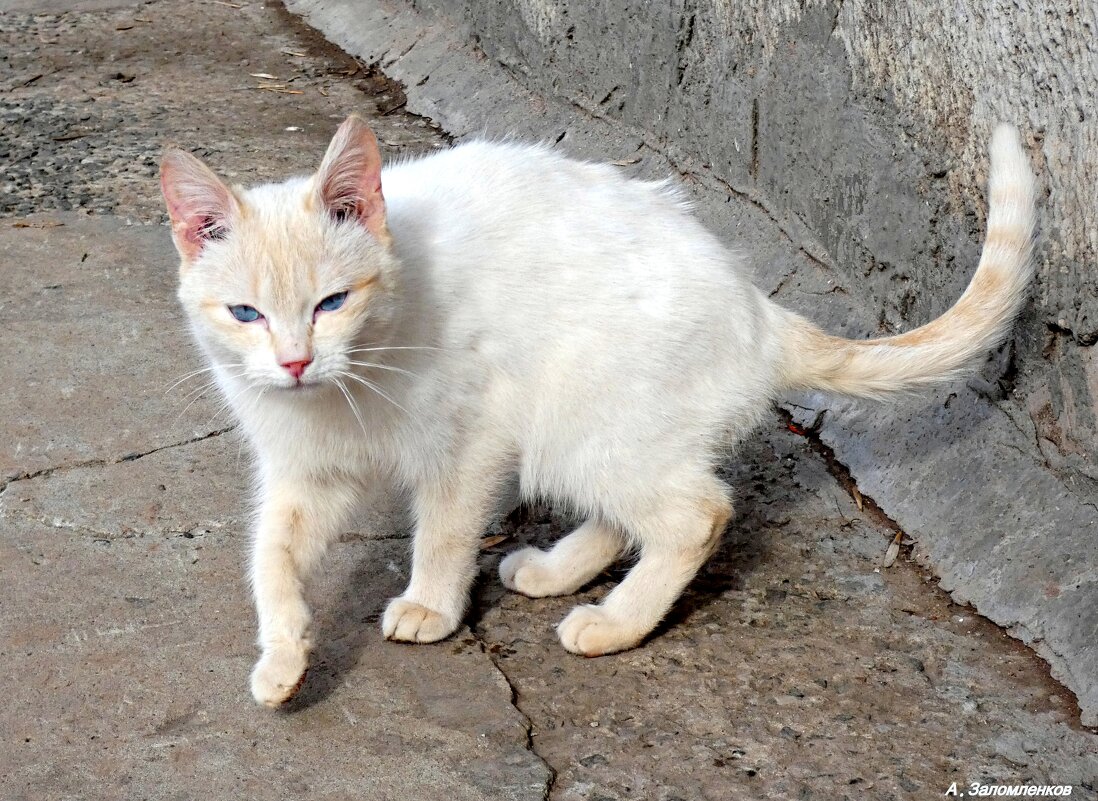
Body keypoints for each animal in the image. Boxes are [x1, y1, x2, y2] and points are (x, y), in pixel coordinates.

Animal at [159, 115, 1032, 702]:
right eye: (246, 315)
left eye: (333, 302)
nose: (295, 361)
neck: (348, 388)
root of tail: (755, 305)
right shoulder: (301, 472)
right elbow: (270, 556)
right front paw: (282, 653)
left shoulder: (471, 440)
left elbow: (443, 529)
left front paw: (431, 603)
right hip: (595, 434)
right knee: (633, 511)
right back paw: (557, 570)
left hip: (581, 418)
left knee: (697, 513)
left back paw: (615, 621)